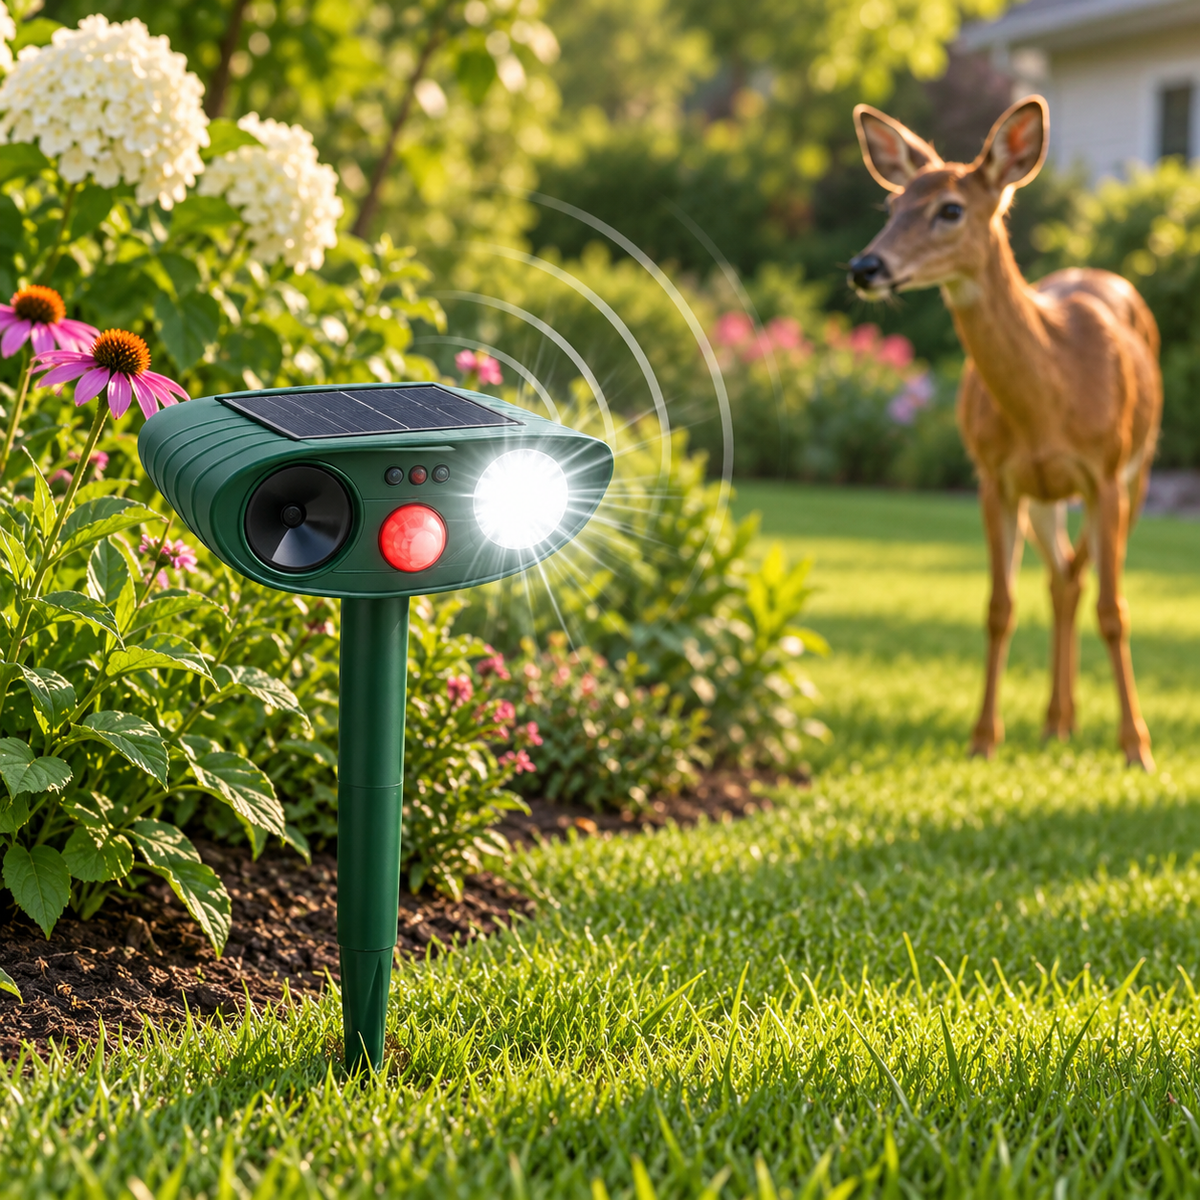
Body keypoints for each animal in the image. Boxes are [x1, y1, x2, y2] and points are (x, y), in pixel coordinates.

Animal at [848, 95, 1162, 769]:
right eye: (892, 205)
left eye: (949, 208)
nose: (866, 267)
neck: (1048, 401)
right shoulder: (994, 479)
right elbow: (999, 607)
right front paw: (982, 738)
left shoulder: (1105, 474)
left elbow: (1116, 610)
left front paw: (1136, 747)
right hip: (1043, 498)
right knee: (1062, 577)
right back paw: (1056, 721)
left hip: (1139, 469)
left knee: (1082, 579)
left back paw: (1078, 723)